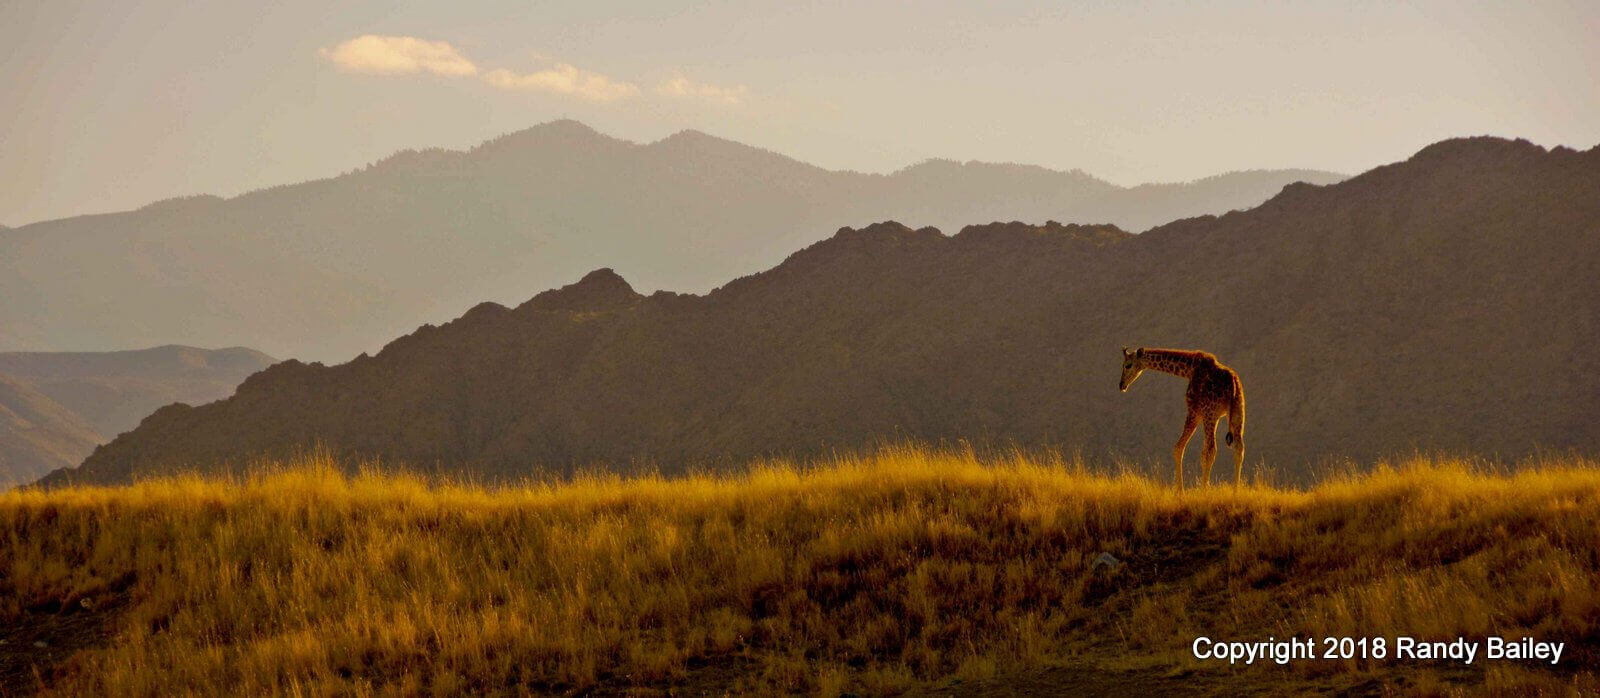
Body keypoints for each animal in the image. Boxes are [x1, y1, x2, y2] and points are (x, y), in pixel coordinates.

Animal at [1118, 347, 1246, 490]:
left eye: (1127, 365)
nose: (1121, 385)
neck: (1189, 369)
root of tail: (1233, 384)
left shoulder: (1194, 411)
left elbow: (1178, 448)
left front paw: (1180, 490)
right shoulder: (1208, 414)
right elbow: (1193, 451)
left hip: (1210, 414)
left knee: (1211, 450)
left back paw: (1204, 490)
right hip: (1238, 412)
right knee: (1239, 448)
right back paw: (1235, 490)